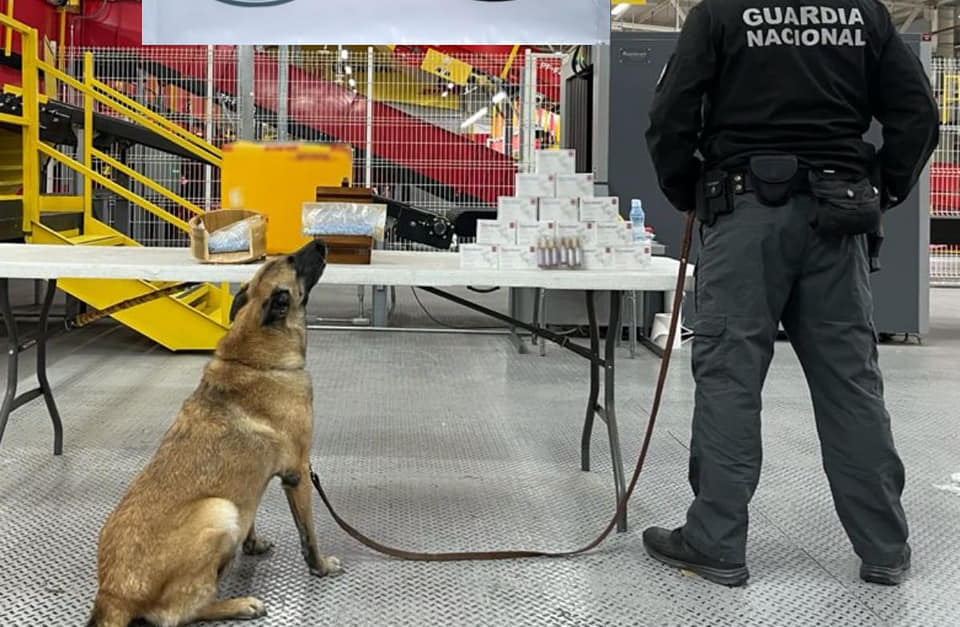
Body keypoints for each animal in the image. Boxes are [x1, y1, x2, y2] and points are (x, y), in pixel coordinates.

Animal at [86, 240, 340, 627]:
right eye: (293, 261)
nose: (323, 243)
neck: (254, 359)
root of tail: (114, 594)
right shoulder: (297, 474)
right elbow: (308, 533)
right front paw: (320, 566)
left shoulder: (251, 489)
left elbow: (253, 516)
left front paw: (252, 545)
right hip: (219, 510)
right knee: (181, 613)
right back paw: (239, 604)